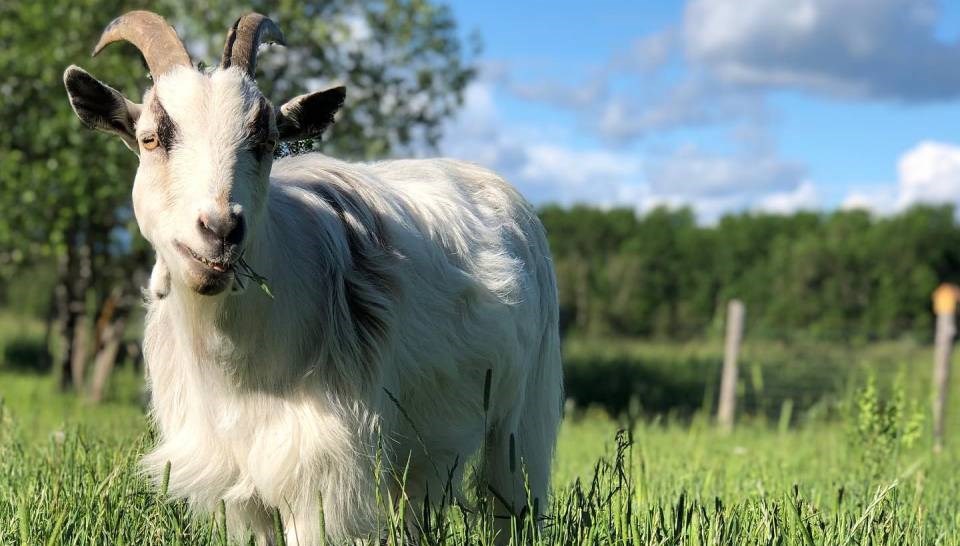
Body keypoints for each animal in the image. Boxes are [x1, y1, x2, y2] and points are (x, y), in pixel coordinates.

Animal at [62, 9, 564, 544]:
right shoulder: (237, 489)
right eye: (151, 138)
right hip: (422, 444)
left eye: (265, 141)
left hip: (519, 417)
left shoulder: (319, 472)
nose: (219, 230)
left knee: (511, 498)